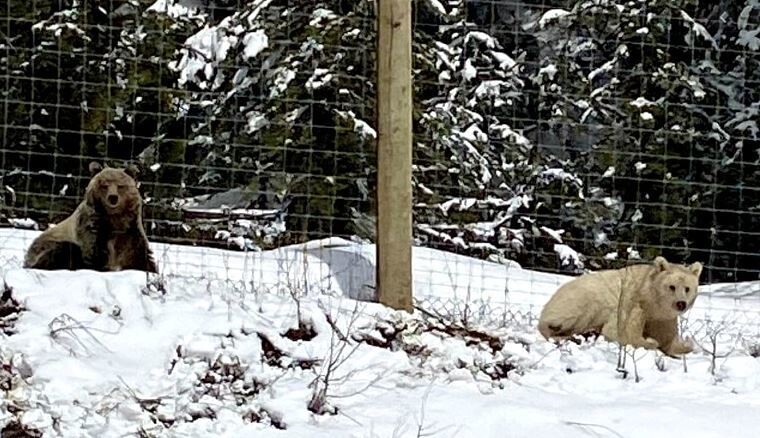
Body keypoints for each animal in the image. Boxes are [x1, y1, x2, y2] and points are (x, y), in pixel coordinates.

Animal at [23, 163, 157, 274]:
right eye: (104, 185)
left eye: (120, 186)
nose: (113, 198)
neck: (115, 218)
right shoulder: (93, 227)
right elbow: (94, 252)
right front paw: (102, 267)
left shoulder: (130, 231)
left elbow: (141, 255)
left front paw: (149, 270)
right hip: (48, 244)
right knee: (65, 249)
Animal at [536, 256, 704, 356]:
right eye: (672, 286)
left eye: (687, 288)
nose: (681, 303)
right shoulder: (631, 302)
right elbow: (622, 331)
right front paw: (649, 341)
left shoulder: (661, 318)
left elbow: (667, 337)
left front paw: (687, 345)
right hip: (580, 299)